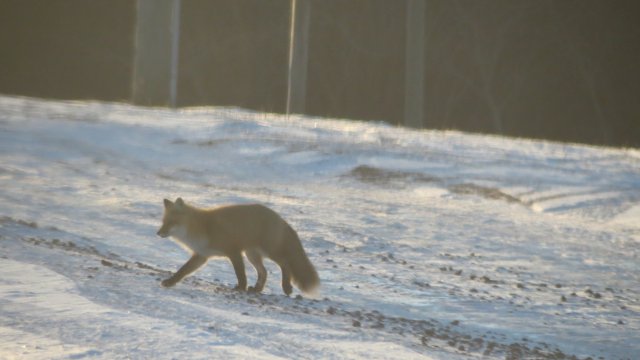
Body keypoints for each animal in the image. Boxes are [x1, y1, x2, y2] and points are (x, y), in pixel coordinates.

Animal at [156, 197, 320, 296]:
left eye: (171, 222)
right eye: (163, 222)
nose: (158, 233)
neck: (202, 228)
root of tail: (279, 218)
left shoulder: (234, 251)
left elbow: (240, 274)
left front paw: (240, 287)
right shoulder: (201, 256)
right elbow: (182, 271)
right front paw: (170, 282)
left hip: (269, 251)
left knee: (285, 264)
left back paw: (286, 287)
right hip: (252, 254)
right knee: (264, 272)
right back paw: (257, 289)